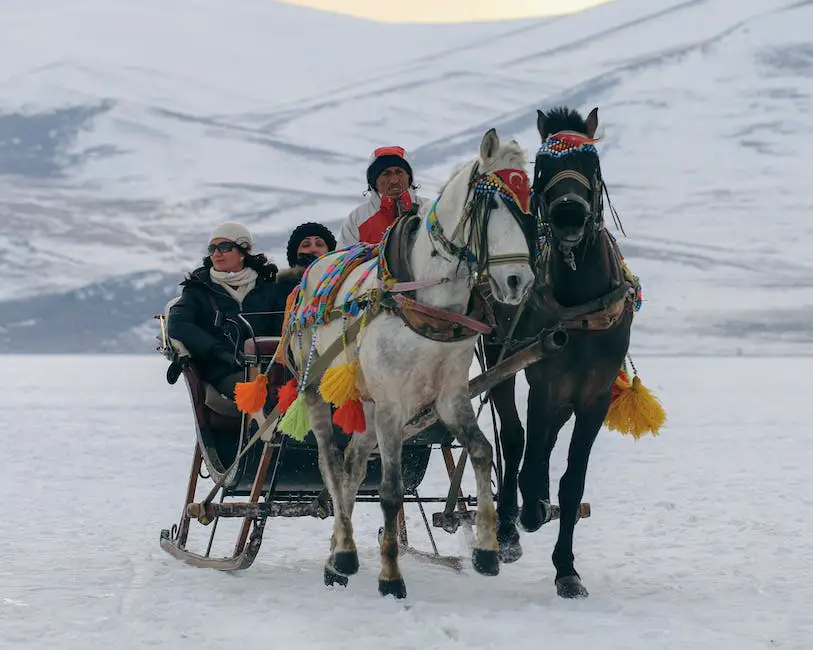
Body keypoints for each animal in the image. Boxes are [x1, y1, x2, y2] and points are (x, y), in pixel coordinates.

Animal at [286, 128, 532, 596]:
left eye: (529, 201)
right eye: (493, 202)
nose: (518, 281)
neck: (427, 301)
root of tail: (311, 272)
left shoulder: (450, 396)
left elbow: (481, 450)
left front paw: (486, 551)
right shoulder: (392, 404)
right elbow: (390, 490)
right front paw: (390, 577)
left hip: (365, 401)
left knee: (353, 462)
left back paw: (337, 557)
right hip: (317, 390)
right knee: (332, 463)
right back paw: (344, 552)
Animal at [486, 106, 636, 596]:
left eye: (591, 161)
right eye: (542, 167)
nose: (569, 215)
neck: (579, 305)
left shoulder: (595, 395)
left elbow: (573, 481)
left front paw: (567, 569)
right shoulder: (544, 380)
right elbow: (530, 451)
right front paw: (530, 511)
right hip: (498, 356)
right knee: (514, 439)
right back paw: (510, 527)